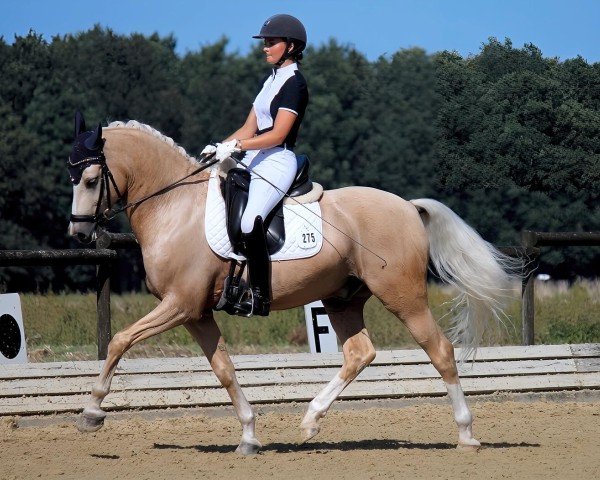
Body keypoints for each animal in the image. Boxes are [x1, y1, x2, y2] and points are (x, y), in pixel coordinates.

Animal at [64, 115, 516, 454]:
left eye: (90, 180)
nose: (79, 234)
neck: (174, 208)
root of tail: (407, 206)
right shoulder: (195, 313)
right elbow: (224, 369)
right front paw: (248, 435)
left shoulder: (180, 304)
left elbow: (120, 340)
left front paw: (92, 412)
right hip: (341, 299)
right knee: (359, 353)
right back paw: (311, 419)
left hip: (404, 297)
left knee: (439, 351)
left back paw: (466, 434)